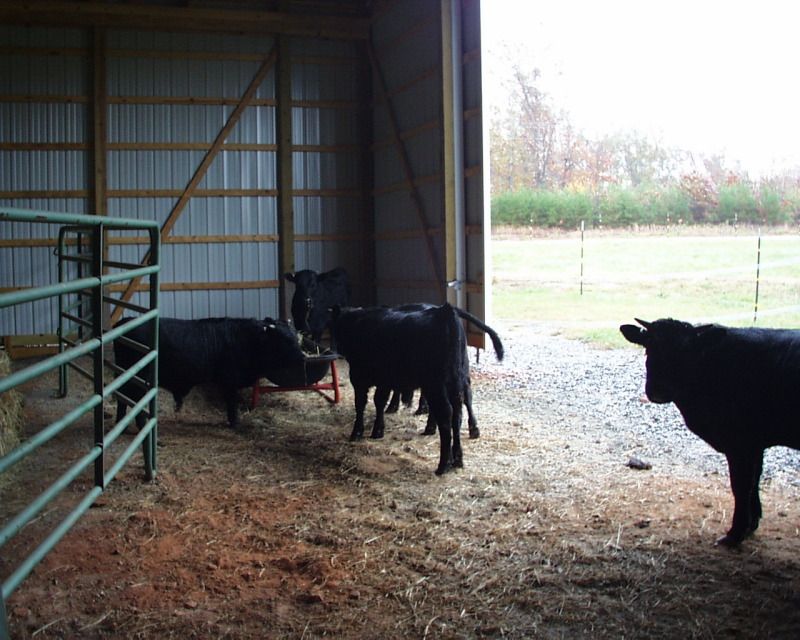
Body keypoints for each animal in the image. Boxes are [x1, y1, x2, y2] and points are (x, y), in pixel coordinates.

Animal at [114, 316, 305, 430]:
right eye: (284, 340)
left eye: (296, 338)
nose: (302, 357)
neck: (246, 339)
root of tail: (125, 320)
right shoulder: (230, 382)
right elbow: (232, 405)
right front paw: (235, 424)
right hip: (138, 378)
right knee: (134, 400)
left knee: (122, 398)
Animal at [330, 303, 504, 475]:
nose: (336, 349)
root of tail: (445, 310)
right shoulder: (384, 380)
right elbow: (379, 401)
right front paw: (378, 430)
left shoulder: (358, 377)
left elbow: (361, 405)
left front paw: (356, 432)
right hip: (458, 379)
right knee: (458, 412)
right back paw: (459, 456)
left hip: (436, 385)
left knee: (446, 415)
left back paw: (443, 464)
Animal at [620, 317, 800, 546]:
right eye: (648, 347)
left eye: (686, 351)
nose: (659, 390)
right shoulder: (754, 444)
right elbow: (754, 481)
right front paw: (751, 525)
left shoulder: (740, 443)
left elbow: (741, 485)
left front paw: (735, 534)